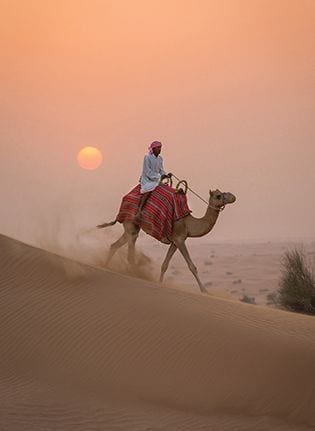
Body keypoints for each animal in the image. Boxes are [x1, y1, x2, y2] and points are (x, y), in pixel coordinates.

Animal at [97, 189, 236, 294]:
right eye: (218, 195)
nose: (233, 196)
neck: (189, 223)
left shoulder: (175, 242)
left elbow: (165, 265)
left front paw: (160, 283)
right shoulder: (179, 239)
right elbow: (192, 266)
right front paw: (204, 290)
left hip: (131, 229)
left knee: (114, 245)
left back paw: (106, 266)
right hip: (131, 225)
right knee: (129, 253)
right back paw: (135, 273)